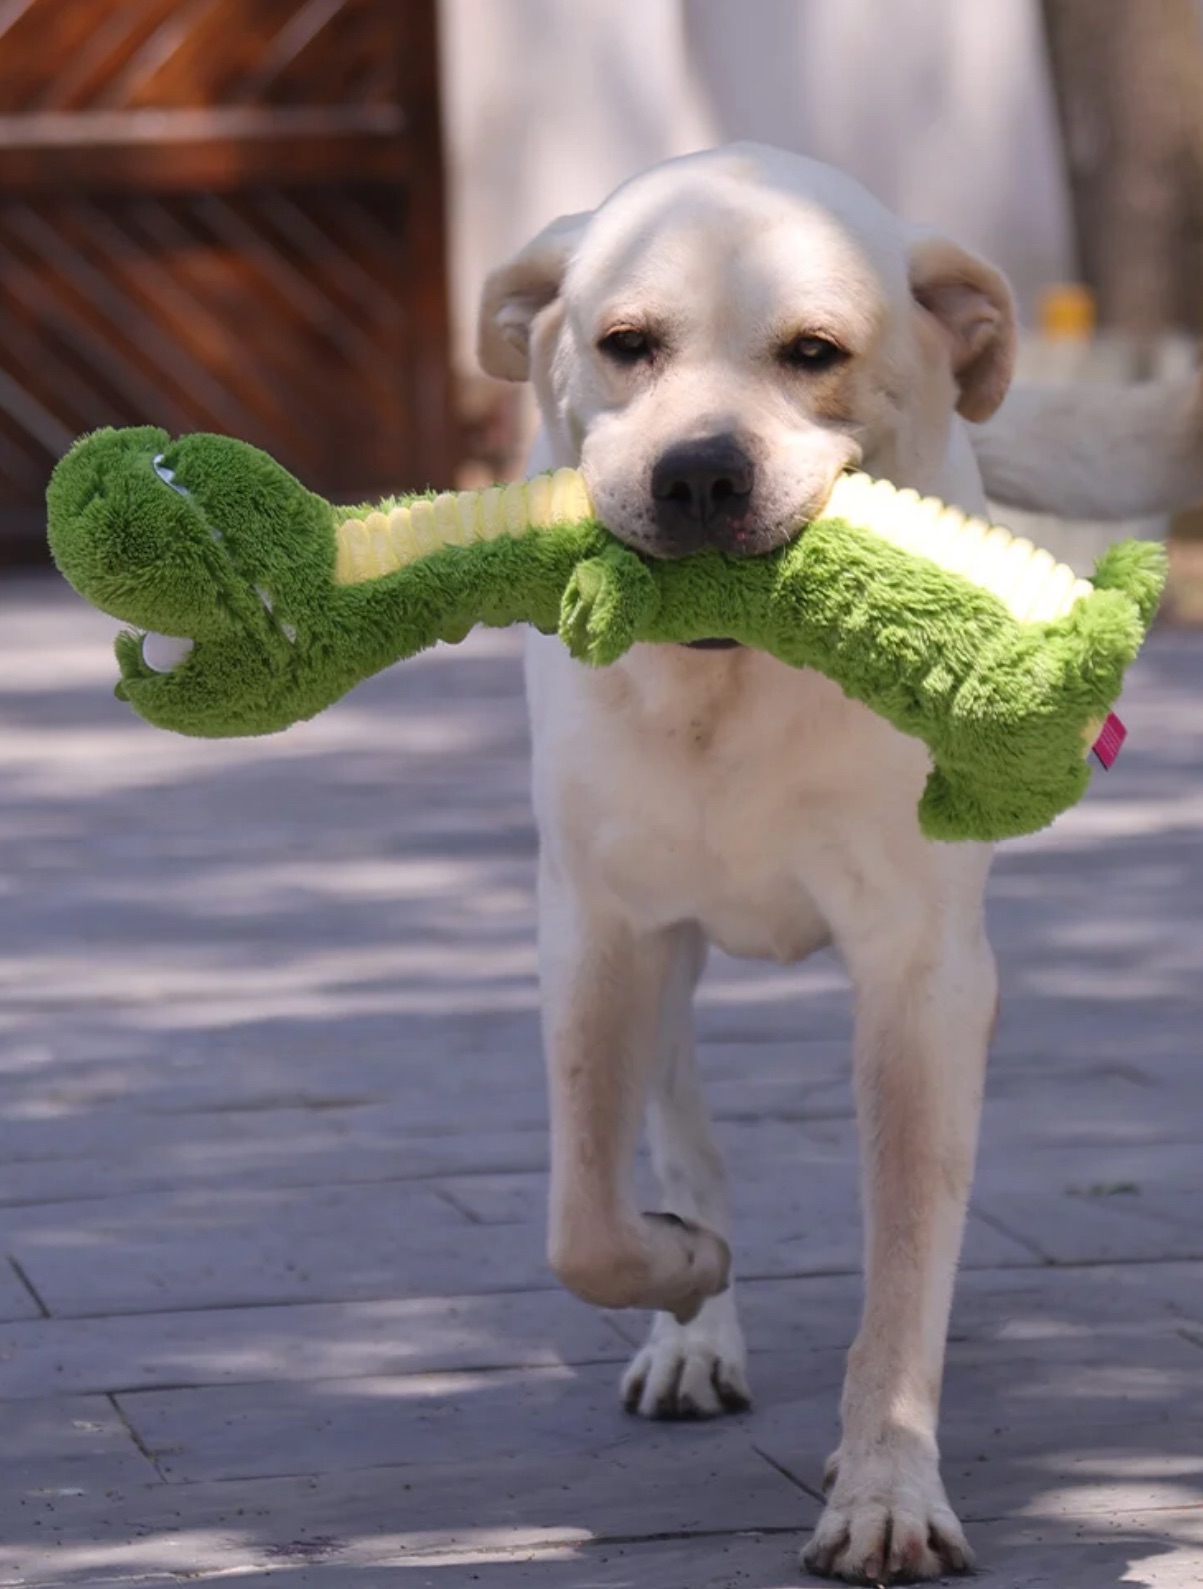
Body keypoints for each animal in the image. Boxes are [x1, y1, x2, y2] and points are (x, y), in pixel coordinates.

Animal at [473, 146, 1195, 1576]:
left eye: (815, 352)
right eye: (626, 345)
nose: (700, 472)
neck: (739, 686)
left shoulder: (922, 974)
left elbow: (907, 1263)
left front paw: (887, 1491)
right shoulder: (596, 929)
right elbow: (585, 1219)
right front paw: (685, 1272)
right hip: (670, 963)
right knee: (681, 1136)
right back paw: (695, 1330)